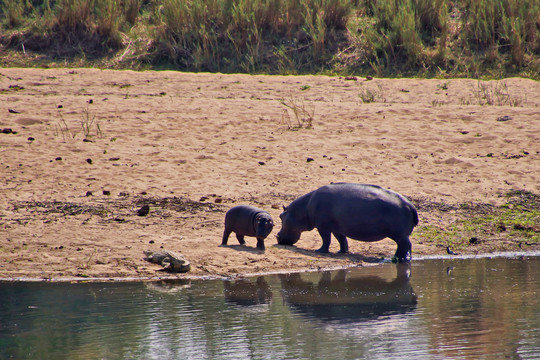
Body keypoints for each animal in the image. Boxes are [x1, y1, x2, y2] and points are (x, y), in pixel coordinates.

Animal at [276, 183, 420, 262]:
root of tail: (410, 205)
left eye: (280, 216)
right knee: (402, 246)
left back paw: (402, 259)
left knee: (407, 245)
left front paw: (319, 251)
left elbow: (326, 240)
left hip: (400, 235)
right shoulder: (337, 228)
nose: (277, 236)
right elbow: (342, 240)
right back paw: (397, 258)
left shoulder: (323, 227)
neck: (304, 208)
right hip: (400, 236)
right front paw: (342, 252)